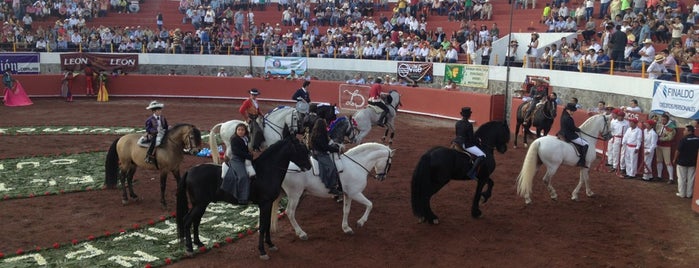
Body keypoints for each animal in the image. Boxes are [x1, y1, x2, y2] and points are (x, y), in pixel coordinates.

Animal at [178, 125, 312, 260]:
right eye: (301, 148)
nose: (309, 166)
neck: (266, 170)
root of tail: (190, 171)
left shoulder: (268, 204)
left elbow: (267, 224)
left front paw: (270, 244)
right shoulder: (265, 204)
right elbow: (263, 226)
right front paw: (262, 251)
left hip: (201, 204)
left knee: (196, 221)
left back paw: (199, 243)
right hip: (199, 204)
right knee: (187, 221)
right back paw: (189, 249)